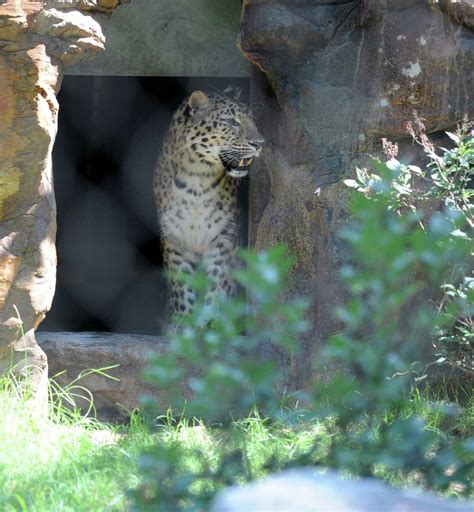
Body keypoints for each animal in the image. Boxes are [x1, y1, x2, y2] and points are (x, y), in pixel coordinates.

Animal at [154, 86, 262, 326]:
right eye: (231, 122)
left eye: (253, 120)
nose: (260, 144)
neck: (197, 178)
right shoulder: (175, 237)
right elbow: (181, 284)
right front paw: (183, 322)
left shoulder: (224, 237)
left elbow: (219, 282)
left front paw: (213, 322)